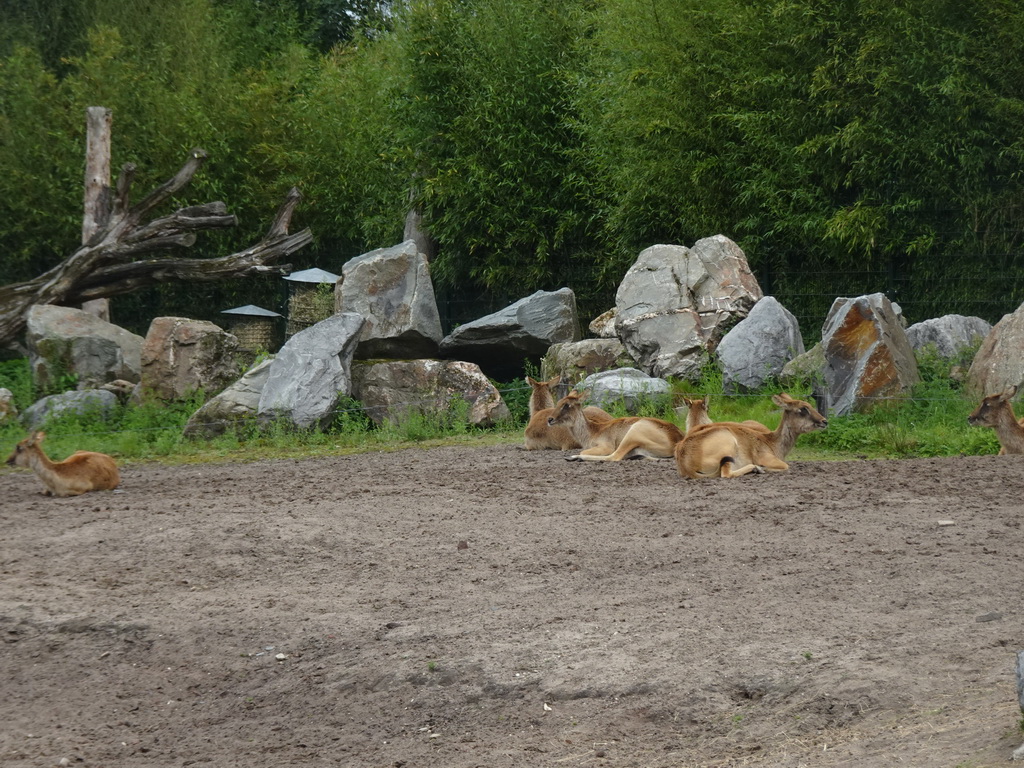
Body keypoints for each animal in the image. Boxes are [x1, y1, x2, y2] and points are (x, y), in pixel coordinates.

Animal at [548, 391, 684, 462]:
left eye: (566, 405)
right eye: (558, 402)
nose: (549, 419)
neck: (593, 432)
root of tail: (676, 439)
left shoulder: (606, 446)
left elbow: (584, 451)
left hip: (633, 432)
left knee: (615, 456)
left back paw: (573, 457)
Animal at [675, 393, 827, 479]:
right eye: (803, 409)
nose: (824, 421)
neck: (771, 441)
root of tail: (685, 462)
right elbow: (786, 466)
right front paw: (761, 468)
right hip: (728, 447)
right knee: (726, 474)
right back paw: (756, 469)